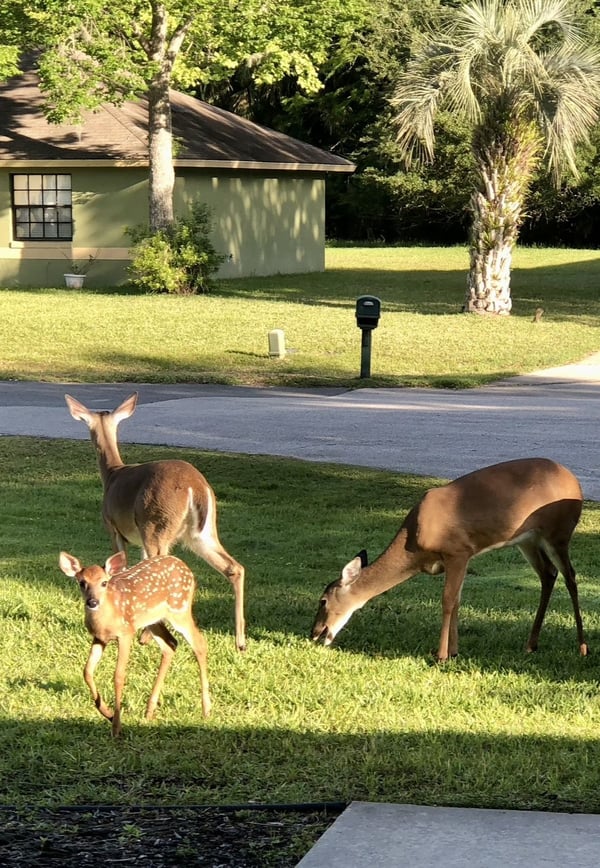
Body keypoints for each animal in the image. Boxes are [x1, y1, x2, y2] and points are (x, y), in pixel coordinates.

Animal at [59, 550, 211, 737]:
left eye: (104, 582)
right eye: (82, 583)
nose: (92, 602)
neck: (106, 618)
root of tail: (184, 566)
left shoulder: (126, 633)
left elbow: (118, 675)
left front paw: (116, 726)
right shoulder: (99, 638)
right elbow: (87, 671)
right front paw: (107, 712)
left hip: (179, 609)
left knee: (199, 644)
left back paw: (206, 710)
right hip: (152, 620)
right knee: (171, 644)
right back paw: (149, 711)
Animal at [64, 392, 246, 652]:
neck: (111, 475)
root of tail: (196, 486)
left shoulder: (113, 527)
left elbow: (122, 570)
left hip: (156, 524)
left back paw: (147, 636)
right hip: (201, 532)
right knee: (235, 567)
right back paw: (240, 641)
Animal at [311, 457, 588, 662]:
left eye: (323, 601)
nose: (314, 633)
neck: (414, 543)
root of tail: (575, 482)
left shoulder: (457, 551)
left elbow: (447, 601)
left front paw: (441, 655)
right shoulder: (460, 557)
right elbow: (456, 600)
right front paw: (454, 651)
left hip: (559, 532)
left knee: (571, 578)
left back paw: (582, 647)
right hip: (527, 540)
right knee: (548, 574)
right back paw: (531, 645)